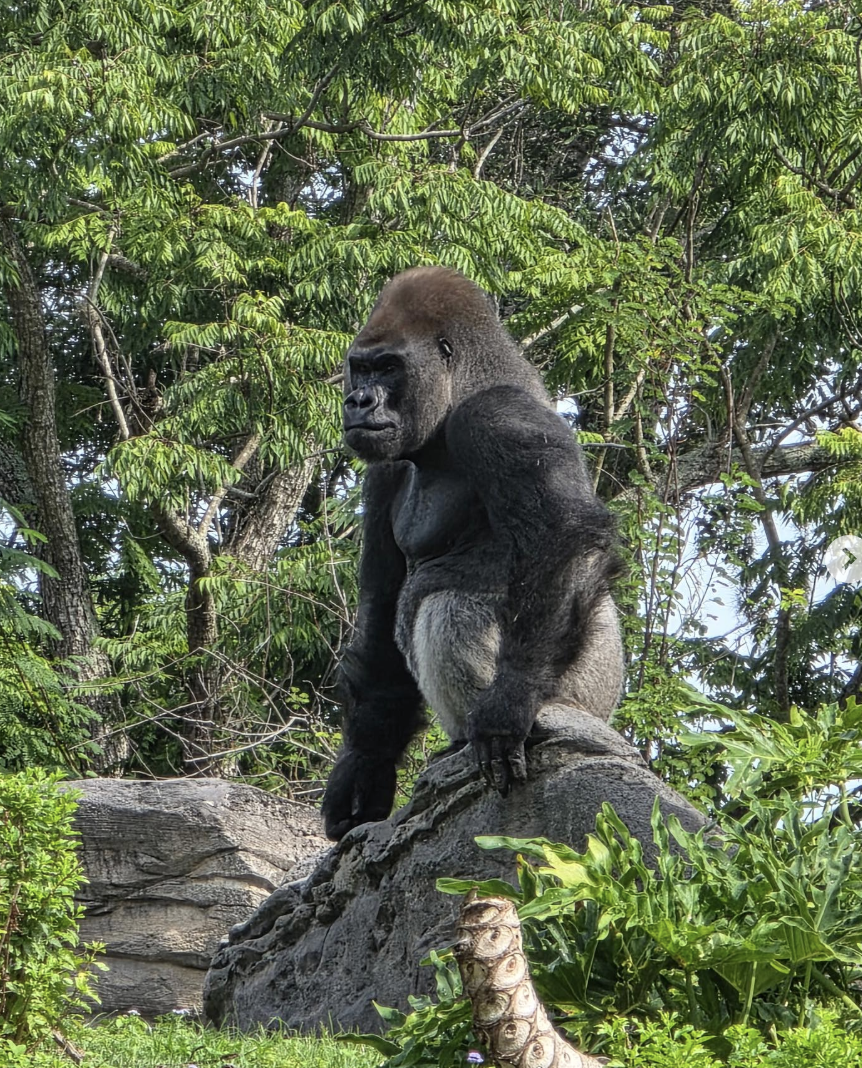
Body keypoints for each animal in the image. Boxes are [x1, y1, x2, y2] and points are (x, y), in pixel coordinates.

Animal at [321, 266, 624, 841]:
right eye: (360, 368)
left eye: (389, 367)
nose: (359, 402)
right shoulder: (384, 469)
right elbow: (380, 609)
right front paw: (364, 766)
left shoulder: (497, 417)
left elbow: (561, 537)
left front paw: (509, 705)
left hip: (588, 695)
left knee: (449, 605)